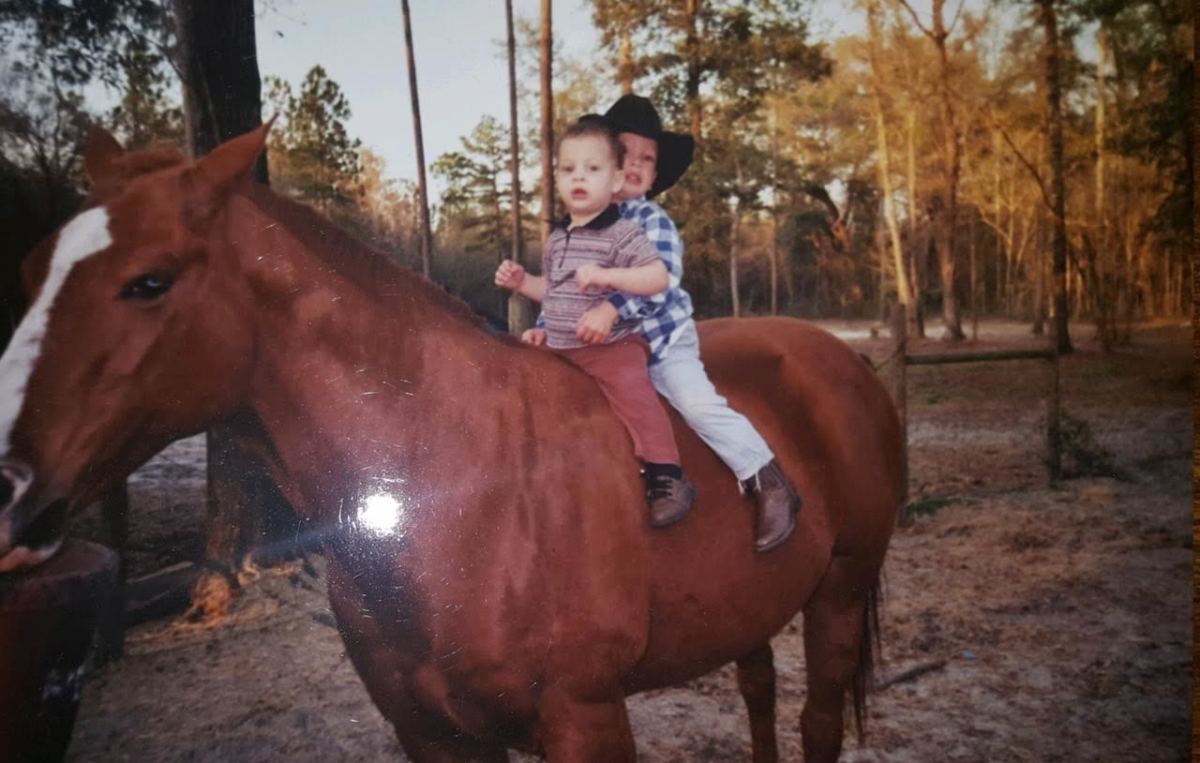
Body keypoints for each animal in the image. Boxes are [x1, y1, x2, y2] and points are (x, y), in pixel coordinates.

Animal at [0, 124, 903, 762]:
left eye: (148, 281)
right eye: (32, 269)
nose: (6, 489)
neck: (458, 482)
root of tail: (842, 356)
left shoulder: (586, 718)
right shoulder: (433, 732)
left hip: (839, 591)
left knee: (818, 723)